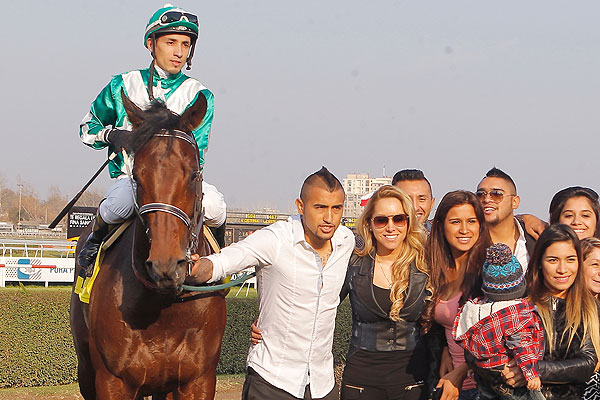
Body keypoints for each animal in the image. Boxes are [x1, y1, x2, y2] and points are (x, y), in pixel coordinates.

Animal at [69, 94, 227, 400]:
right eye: (137, 177)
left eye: (193, 174)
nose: (166, 265)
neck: (164, 308)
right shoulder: (112, 381)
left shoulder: (198, 380)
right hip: (85, 367)